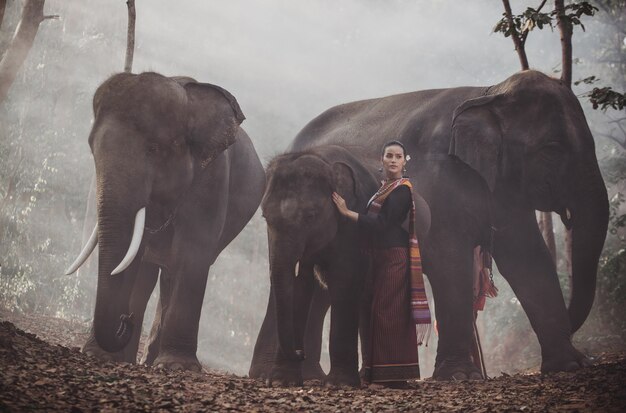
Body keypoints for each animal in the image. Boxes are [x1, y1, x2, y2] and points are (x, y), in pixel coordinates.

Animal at [64, 71, 264, 370]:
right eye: (91, 148)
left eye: (154, 149)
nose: (125, 321)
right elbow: (132, 258)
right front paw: (98, 356)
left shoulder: (214, 178)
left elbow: (191, 254)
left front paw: (176, 367)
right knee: (149, 272)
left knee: (171, 270)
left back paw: (152, 360)